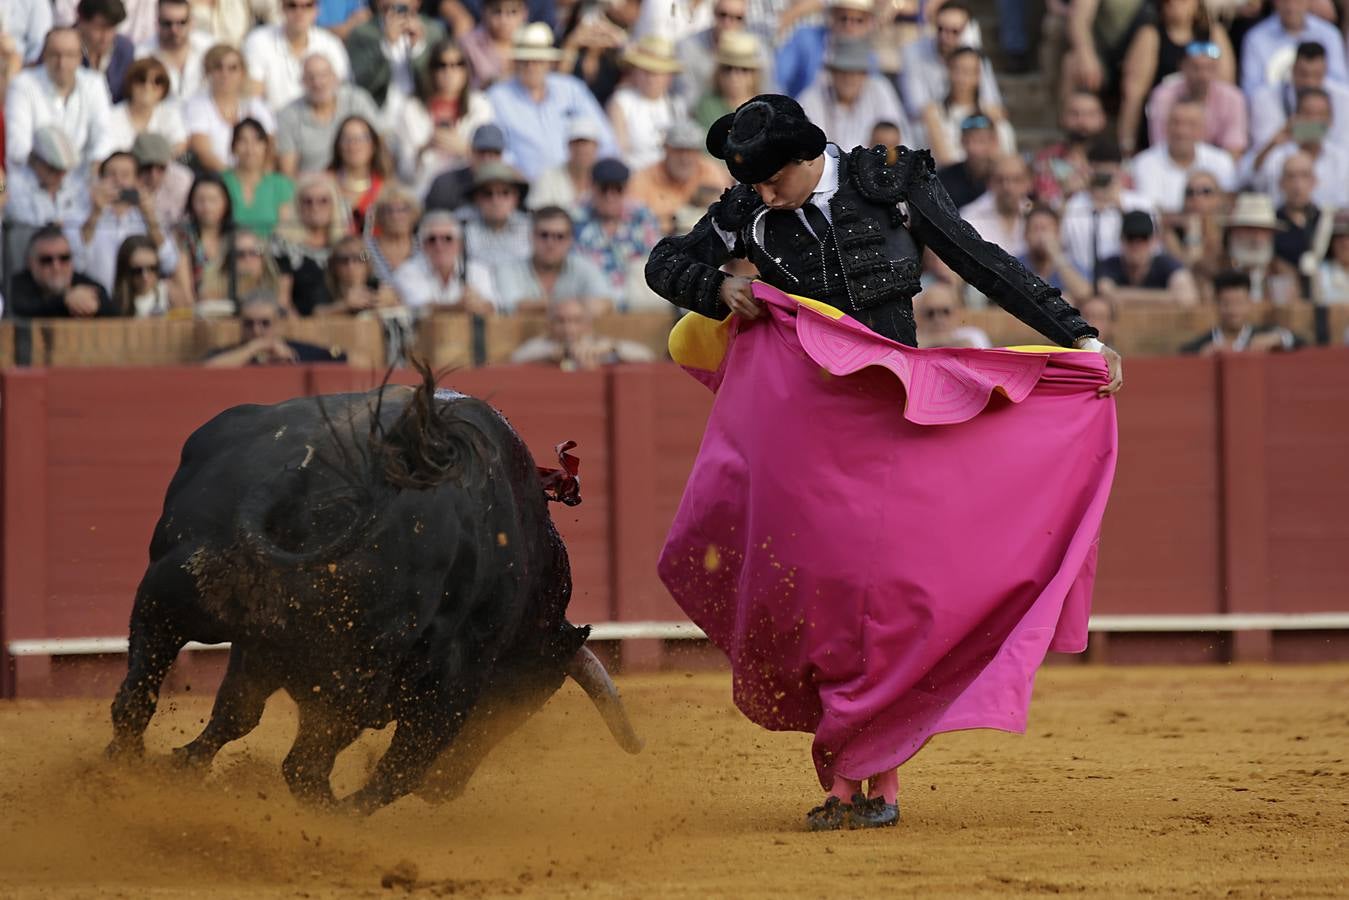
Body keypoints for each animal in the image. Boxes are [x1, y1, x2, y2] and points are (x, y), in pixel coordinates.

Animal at [105, 375, 642, 814]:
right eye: (522, 699)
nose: (446, 788)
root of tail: (302, 472)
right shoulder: (455, 686)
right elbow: (398, 771)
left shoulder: (259, 647)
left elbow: (235, 713)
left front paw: (179, 769)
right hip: (357, 679)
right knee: (307, 768)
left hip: (168, 595)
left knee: (136, 697)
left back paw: (121, 772)